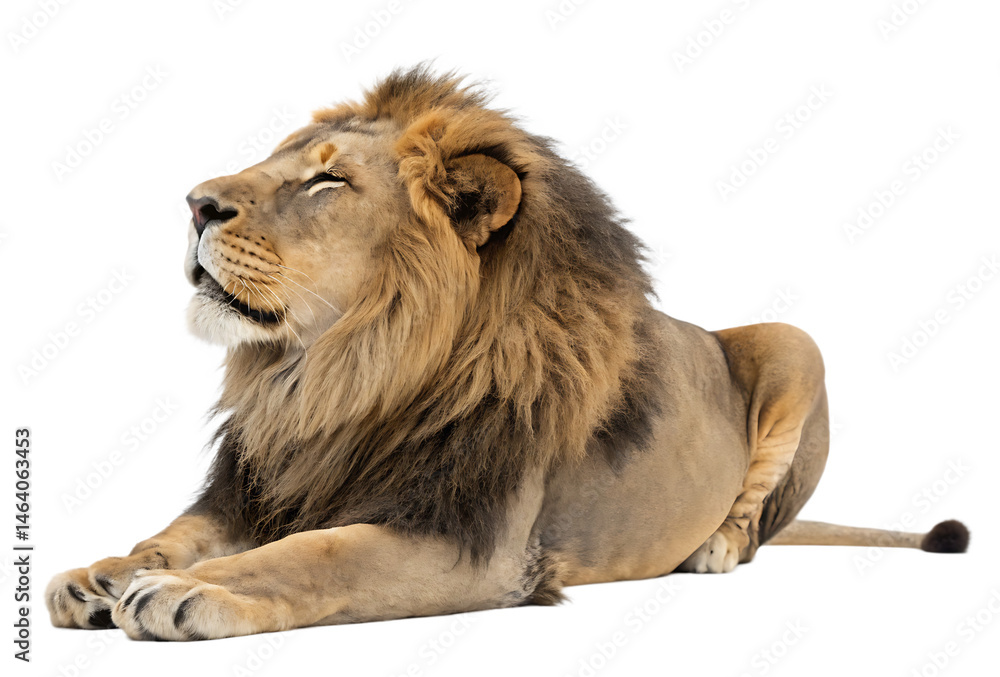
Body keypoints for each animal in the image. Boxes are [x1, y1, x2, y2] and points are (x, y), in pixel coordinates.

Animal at [46, 67, 969, 641]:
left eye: (326, 181)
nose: (195, 204)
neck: (334, 374)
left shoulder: (476, 545)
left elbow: (315, 554)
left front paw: (186, 592)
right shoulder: (262, 485)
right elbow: (176, 531)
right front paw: (103, 572)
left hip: (793, 343)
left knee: (757, 512)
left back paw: (712, 546)